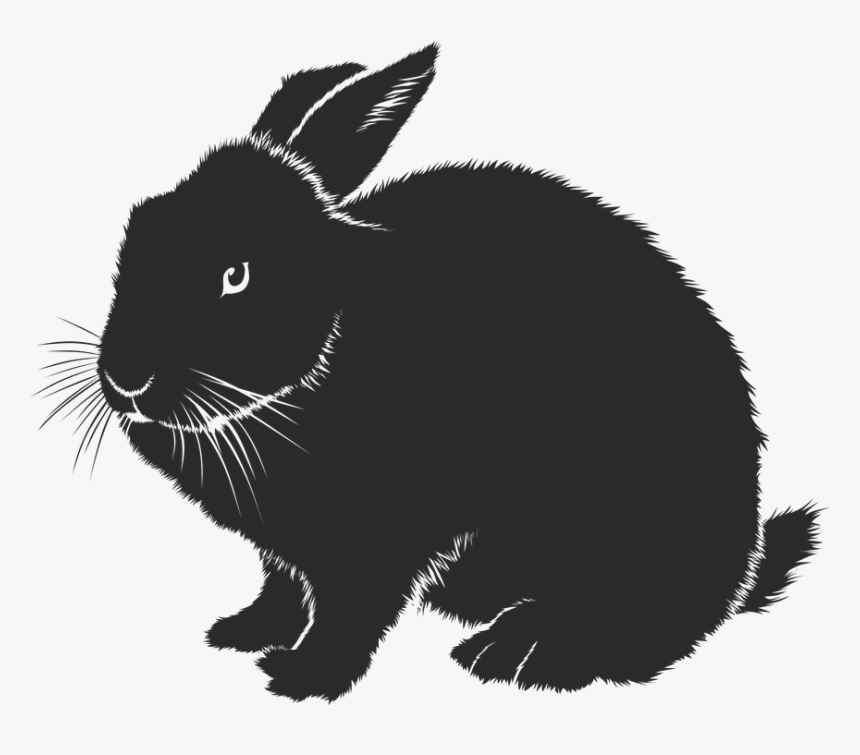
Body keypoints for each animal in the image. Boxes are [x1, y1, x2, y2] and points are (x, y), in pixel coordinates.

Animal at [41, 43, 819, 701]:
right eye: (136, 232)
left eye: (236, 274)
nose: (125, 380)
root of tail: (744, 559)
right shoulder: (287, 550)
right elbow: (282, 586)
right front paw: (242, 631)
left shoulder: (379, 537)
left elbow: (352, 610)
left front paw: (302, 678)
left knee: (639, 628)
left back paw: (517, 654)